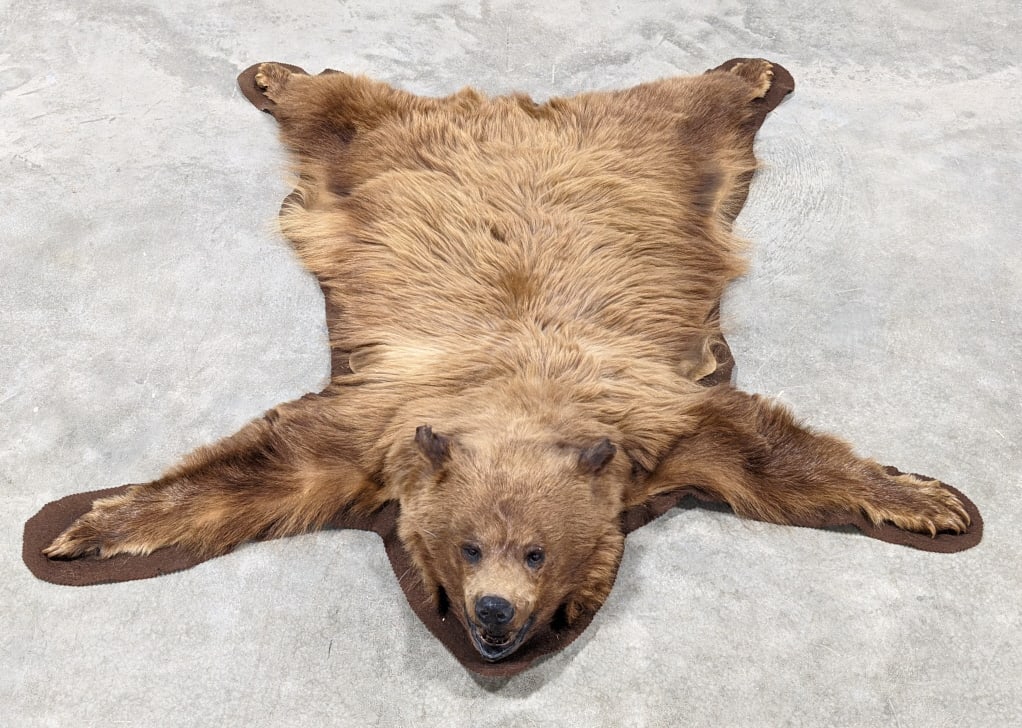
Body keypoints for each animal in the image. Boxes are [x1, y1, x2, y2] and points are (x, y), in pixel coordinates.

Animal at [44, 59, 970, 663]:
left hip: (658, 144)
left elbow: (772, 451)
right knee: (339, 104)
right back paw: (274, 74)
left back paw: (752, 69)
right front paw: (84, 529)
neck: (518, 399)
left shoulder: (659, 426)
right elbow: (259, 465)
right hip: (371, 144)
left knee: (690, 104)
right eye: (467, 548)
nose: (492, 616)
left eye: (535, 553)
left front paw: (932, 501)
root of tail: (514, 106)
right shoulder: (377, 426)